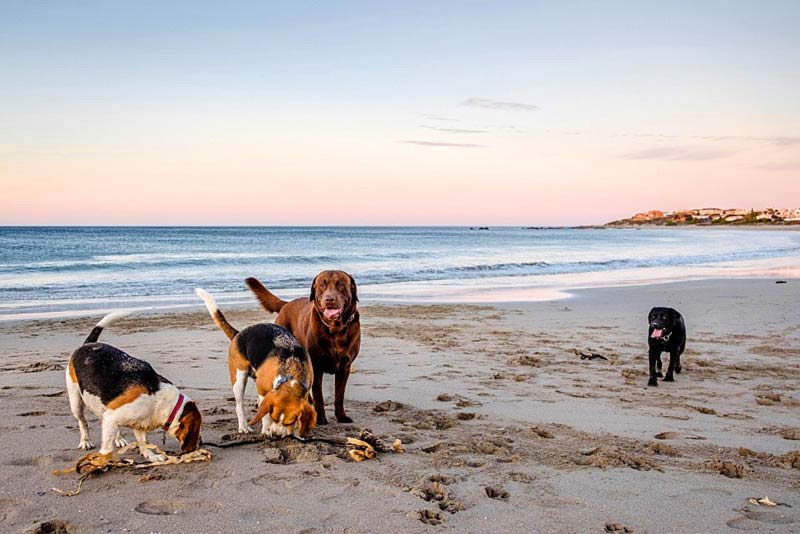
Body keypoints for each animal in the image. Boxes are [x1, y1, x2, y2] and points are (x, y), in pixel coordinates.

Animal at [66, 312, 203, 462]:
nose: (200, 444)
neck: (158, 397)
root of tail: (87, 344)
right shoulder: (114, 416)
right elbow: (107, 448)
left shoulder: (137, 422)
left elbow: (144, 442)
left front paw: (152, 456)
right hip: (76, 401)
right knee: (83, 422)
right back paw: (85, 441)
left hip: (104, 408)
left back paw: (119, 439)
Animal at [194, 288, 316, 440]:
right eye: (274, 416)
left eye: (290, 421)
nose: (276, 435)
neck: (291, 372)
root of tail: (239, 333)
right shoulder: (263, 391)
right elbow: (265, 415)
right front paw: (266, 430)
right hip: (239, 378)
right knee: (239, 406)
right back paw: (243, 427)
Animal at [245, 272, 360, 428]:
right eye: (322, 285)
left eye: (340, 284)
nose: (329, 299)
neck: (335, 330)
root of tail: (286, 304)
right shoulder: (317, 366)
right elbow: (319, 396)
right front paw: (321, 418)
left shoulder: (345, 367)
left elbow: (339, 395)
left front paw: (341, 416)